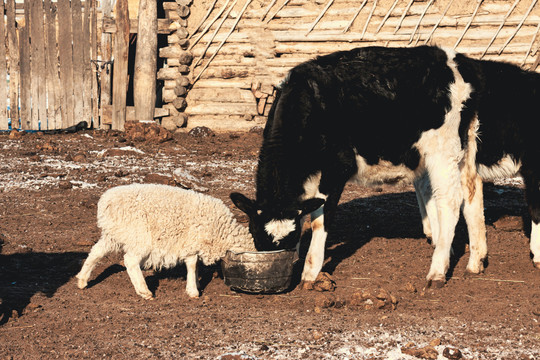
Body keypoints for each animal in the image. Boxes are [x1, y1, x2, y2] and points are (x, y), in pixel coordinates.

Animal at [74, 184, 258, 300]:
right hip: (139, 236)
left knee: (96, 252)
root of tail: (106, 202)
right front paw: (193, 290)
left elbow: (195, 265)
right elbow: (192, 264)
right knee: (130, 260)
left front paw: (196, 283)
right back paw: (144, 291)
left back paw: (82, 280)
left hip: (113, 234)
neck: (222, 232)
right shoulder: (191, 242)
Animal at [231, 45, 476, 286]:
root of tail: (448, 57)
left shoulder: (338, 168)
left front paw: (310, 271)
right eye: (257, 237)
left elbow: (320, 219)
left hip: (443, 151)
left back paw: (438, 270)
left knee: (450, 200)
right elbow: (302, 212)